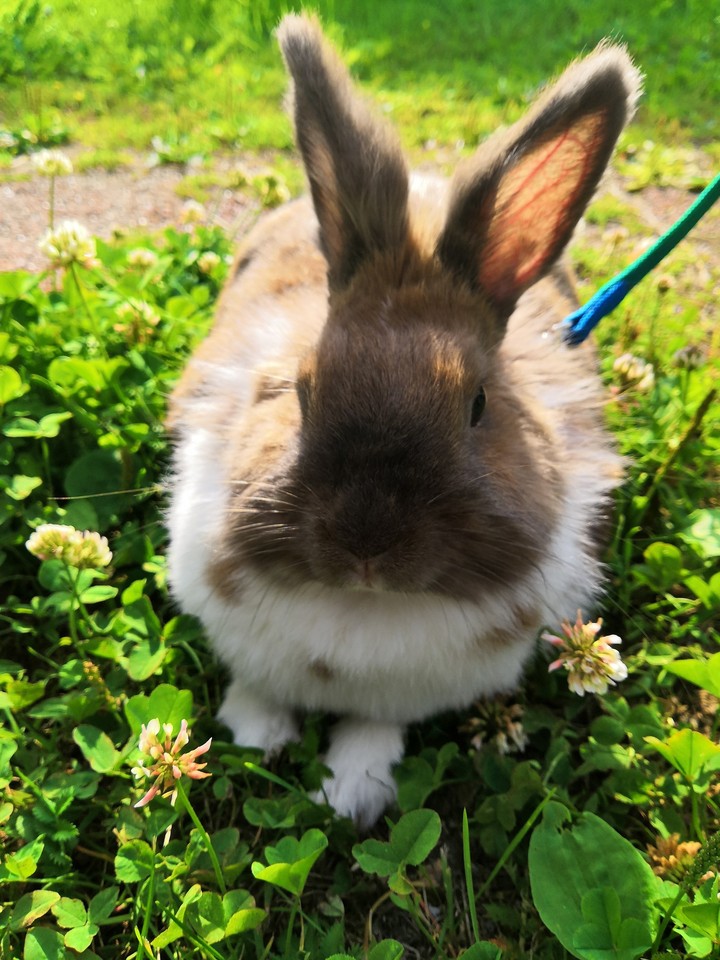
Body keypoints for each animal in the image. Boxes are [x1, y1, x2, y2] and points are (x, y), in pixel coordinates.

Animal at [166, 14, 641, 828]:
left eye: (478, 405)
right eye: (302, 390)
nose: (368, 544)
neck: (361, 607)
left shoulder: (403, 695)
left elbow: (372, 729)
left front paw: (347, 796)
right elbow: (256, 689)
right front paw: (256, 736)